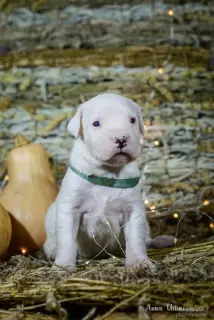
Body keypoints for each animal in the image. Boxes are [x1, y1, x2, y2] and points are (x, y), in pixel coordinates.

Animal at [43, 92, 174, 270]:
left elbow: (135, 239)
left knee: (146, 238)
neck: (107, 173)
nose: (121, 138)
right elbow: (67, 241)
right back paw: (52, 251)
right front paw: (63, 266)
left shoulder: (133, 210)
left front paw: (139, 262)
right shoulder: (70, 209)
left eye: (132, 120)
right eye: (96, 123)